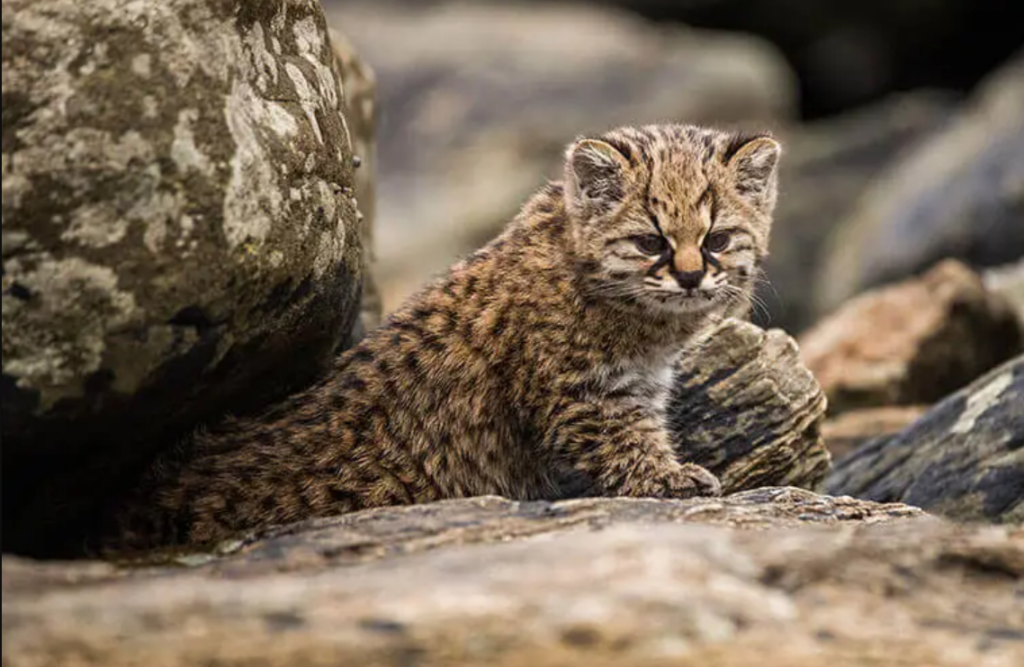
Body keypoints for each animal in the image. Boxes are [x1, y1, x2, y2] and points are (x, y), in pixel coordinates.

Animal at [99, 123, 778, 553]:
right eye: (649, 241)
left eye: (717, 239)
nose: (690, 276)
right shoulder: (582, 396)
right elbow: (624, 447)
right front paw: (671, 479)